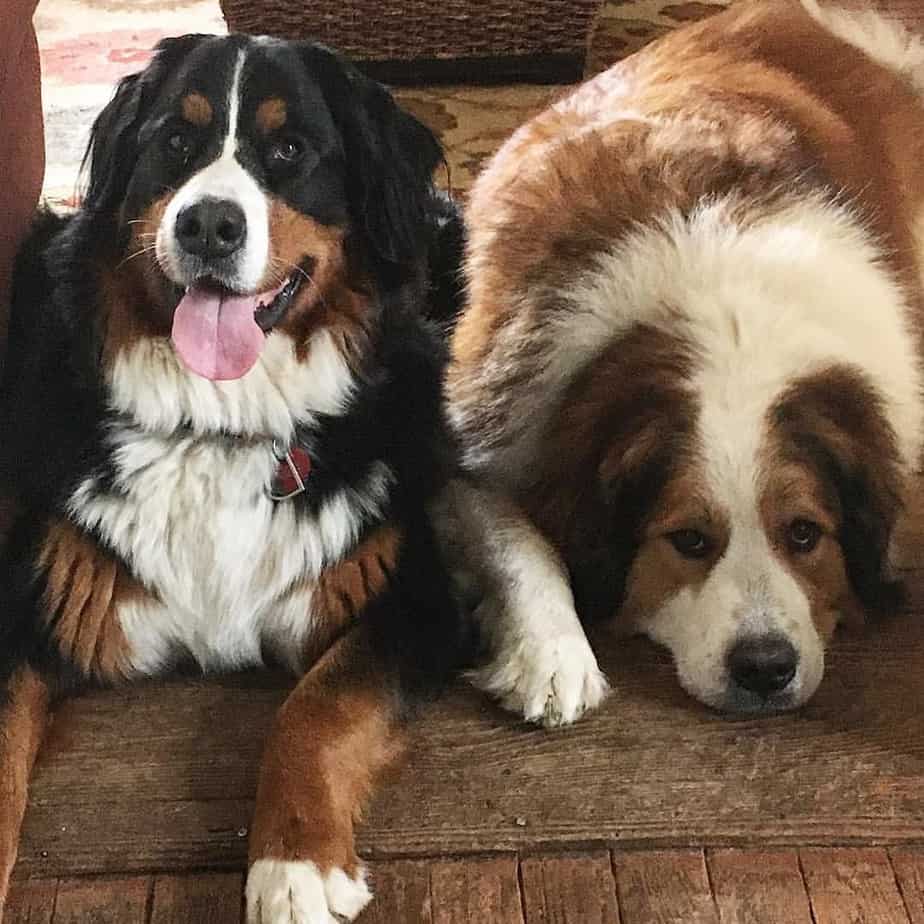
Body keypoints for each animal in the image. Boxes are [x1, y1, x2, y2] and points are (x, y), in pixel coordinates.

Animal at [446, 0, 924, 720]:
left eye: (804, 534)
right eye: (690, 541)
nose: (765, 668)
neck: (728, 323)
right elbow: (511, 537)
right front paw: (551, 651)